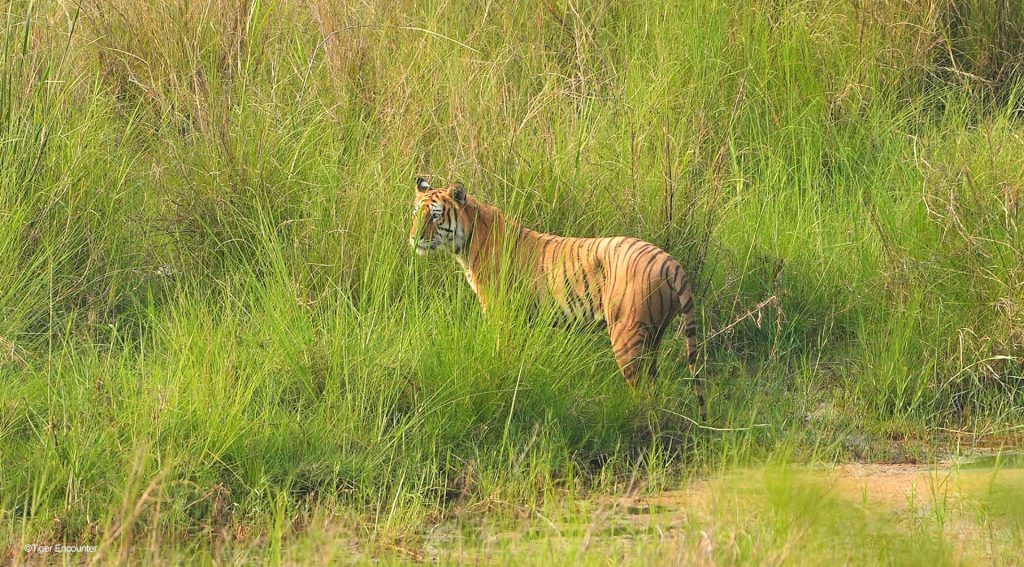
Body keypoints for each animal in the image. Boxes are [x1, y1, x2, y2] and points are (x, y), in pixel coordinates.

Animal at [408, 177, 704, 419]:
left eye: (434, 216)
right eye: (415, 214)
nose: (413, 239)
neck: (467, 240)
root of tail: (670, 262)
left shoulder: (499, 311)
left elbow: (500, 348)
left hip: (627, 335)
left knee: (644, 389)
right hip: (653, 336)